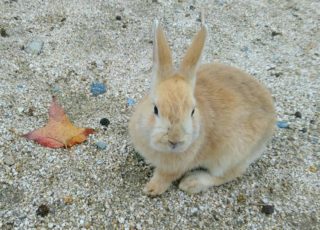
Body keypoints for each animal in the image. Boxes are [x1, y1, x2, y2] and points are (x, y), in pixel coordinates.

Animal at [127, 19, 276, 196]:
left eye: (192, 111)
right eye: (155, 109)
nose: (175, 140)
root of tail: (273, 118)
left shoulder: (175, 168)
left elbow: (164, 177)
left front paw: (151, 189)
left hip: (230, 156)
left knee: (227, 175)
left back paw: (191, 183)